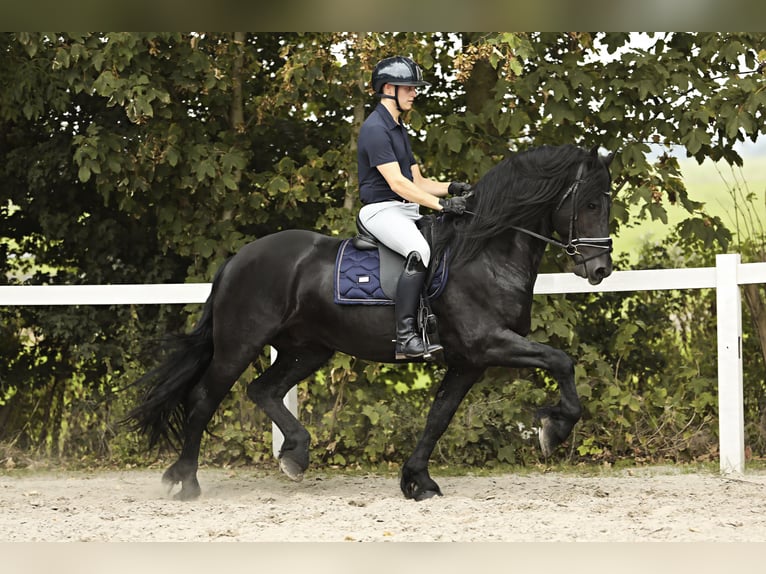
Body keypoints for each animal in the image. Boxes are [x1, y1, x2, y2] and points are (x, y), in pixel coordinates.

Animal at [129, 145, 616, 504]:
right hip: (239, 344)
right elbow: (561, 361)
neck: (485, 253)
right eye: (590, 202)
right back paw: (185, 481)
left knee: (263, 390)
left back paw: (295, 455)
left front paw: (418, 481)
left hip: (308, 348)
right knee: (204, 398)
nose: (600, 269)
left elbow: (439, 416)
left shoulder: (468, 361)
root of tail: (237, 260)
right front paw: (553, 429)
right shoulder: (489, 343)